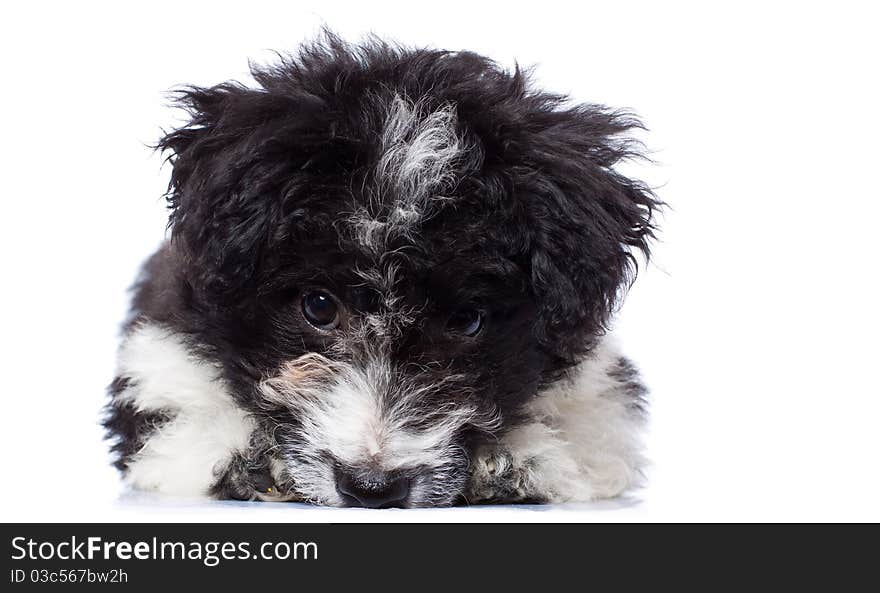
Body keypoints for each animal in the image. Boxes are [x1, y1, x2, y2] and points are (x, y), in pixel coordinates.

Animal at [103, 32, 656, 506]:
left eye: (466, 320)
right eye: (318, 306)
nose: (372, 488)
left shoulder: (600, 389)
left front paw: (514, 460)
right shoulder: (157, 356)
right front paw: (251, 458)